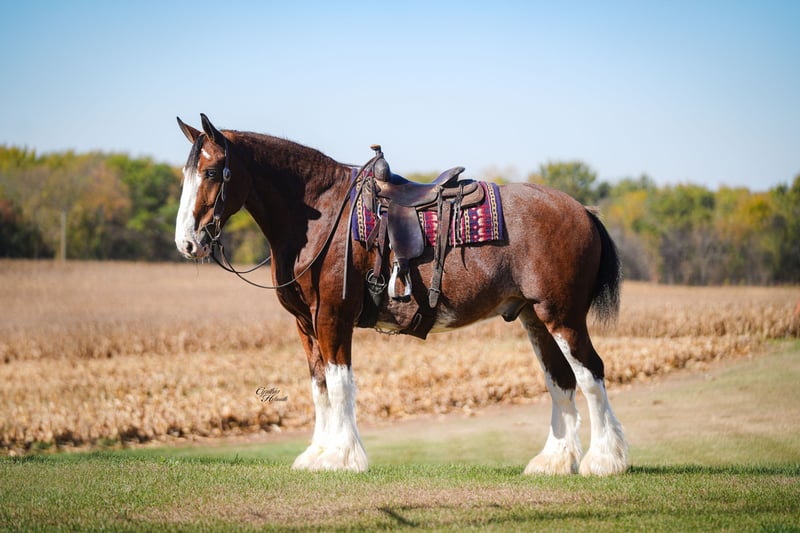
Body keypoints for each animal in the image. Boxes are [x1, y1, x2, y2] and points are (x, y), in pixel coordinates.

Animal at [174, 114, 628, 476]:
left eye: (211, 173)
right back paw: (555, 461)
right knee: (561, 380)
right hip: (535, 318)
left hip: (563, 316)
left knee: (591, 374)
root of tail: (582, 210)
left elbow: (340, 384)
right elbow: (319, 386)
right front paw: (317, 454)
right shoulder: (306, 323)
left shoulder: (333, 317)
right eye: (185, 174)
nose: (187, 243)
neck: (322, 215)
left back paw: (605, 460)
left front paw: (342, 456)